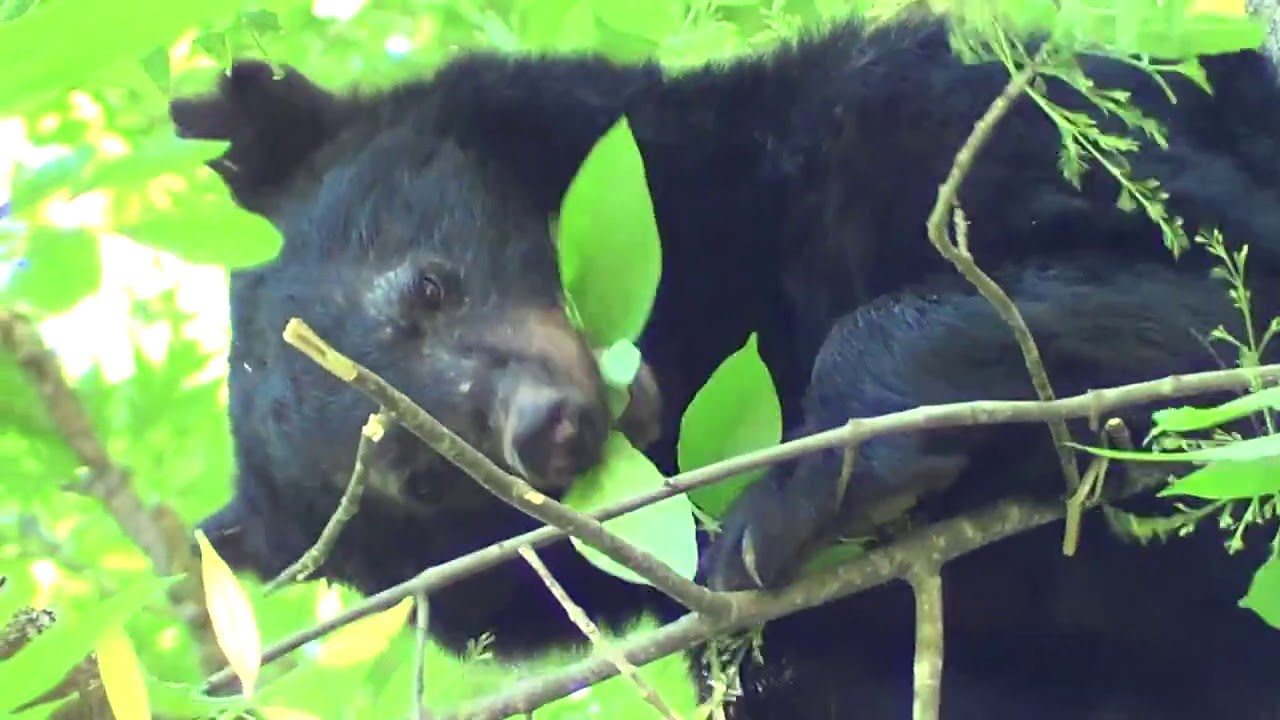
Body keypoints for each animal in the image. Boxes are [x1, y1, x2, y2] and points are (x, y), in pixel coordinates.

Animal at [167, 4, 1280, 717]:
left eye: (429, 287)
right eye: (423, 479)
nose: (549, 427)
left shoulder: (933, 112)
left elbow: (1217, 295)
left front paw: (790, 493)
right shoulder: (811, 645)